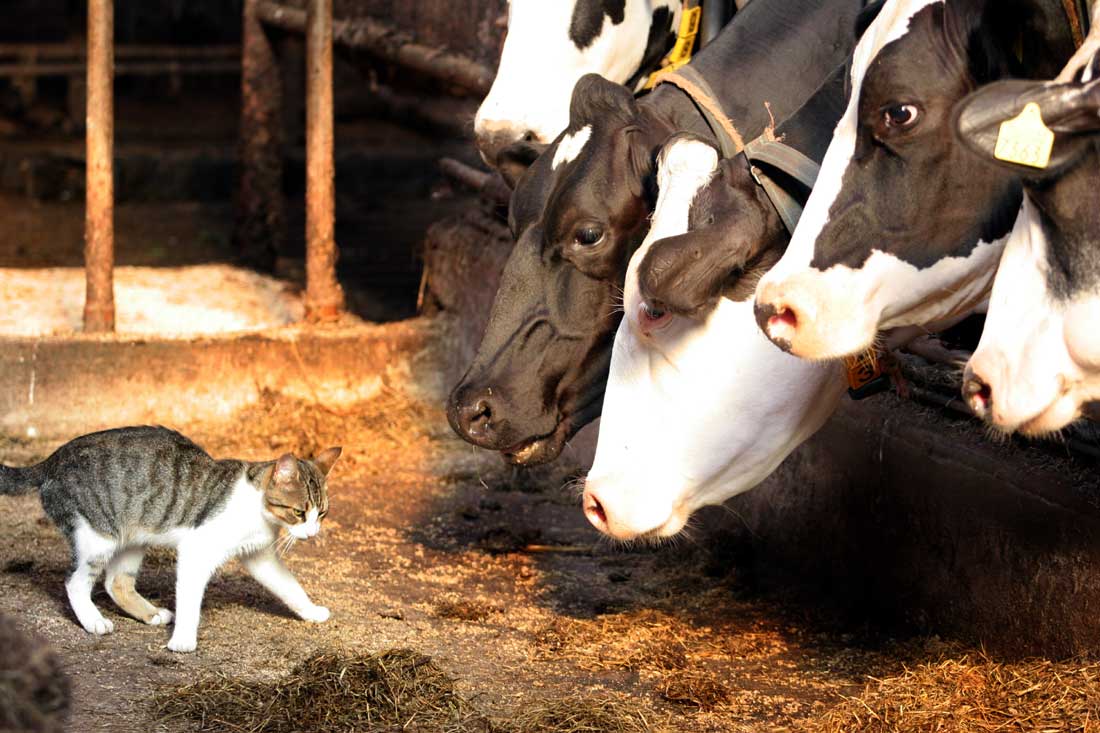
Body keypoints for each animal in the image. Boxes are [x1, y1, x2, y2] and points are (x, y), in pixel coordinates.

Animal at [0, 422, 341, 651]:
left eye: (321, 513)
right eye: (299, 512)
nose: (313, 532)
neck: (257, 510)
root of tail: (50, 460)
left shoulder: (259, 556)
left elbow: (289, 586)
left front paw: (311, 611)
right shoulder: (196, 550)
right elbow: (190, 599)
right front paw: (183, 640)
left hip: (133, 538)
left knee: (116, 582)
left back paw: (150, 614)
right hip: (97, 537)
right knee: (75, 582)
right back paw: (94, 621)